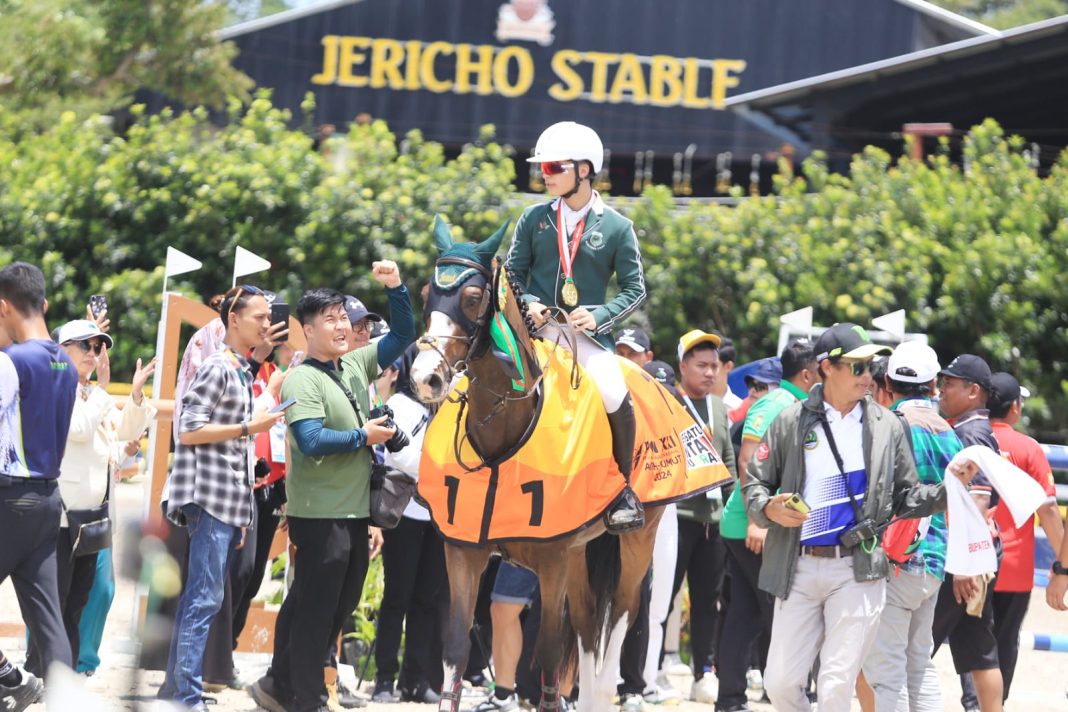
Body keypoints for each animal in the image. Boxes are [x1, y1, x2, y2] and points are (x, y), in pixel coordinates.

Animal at [407, 219, 657, 708]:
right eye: (427, 294)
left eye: (472, 298)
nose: (424, 378)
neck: (504, 427)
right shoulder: (464, 551)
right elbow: (456, 652)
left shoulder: (553, 560)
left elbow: (546, 658)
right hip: (580, 553)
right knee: (587, 629)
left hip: (637, 543)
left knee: (617, 625)